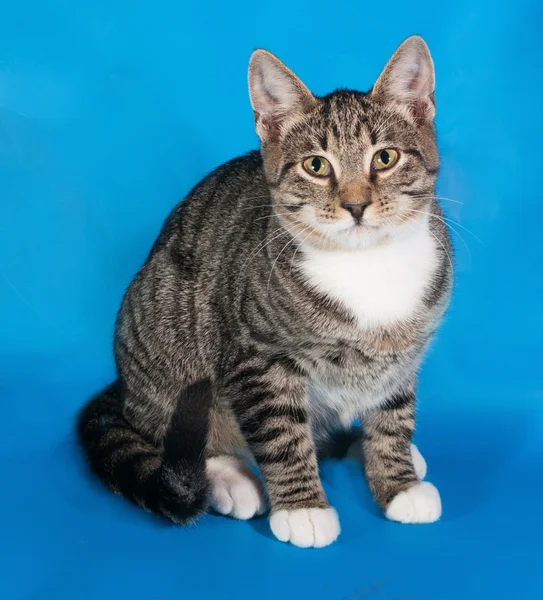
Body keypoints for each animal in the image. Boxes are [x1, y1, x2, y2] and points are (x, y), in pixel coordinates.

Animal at [77, 34, 450, 548]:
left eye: (385, 158)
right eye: (316, 166)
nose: (356, 205)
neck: (367, 267)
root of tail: (124, 383)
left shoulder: (405, 354)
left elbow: (393, 414)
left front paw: (397, 480)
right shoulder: (257, 355)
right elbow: (280, 432)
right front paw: (302, 507)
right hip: (164, 325)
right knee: (172, 425)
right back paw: (227, 478)